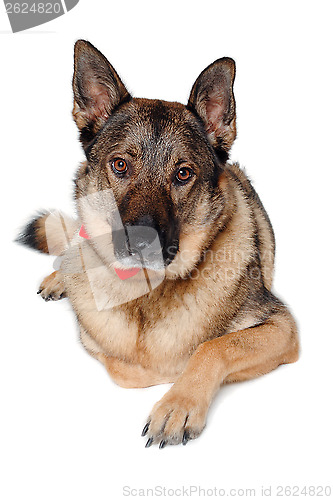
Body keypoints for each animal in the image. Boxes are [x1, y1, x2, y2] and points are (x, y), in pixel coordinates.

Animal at [18, 42, 298, 450]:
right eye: (120, 165)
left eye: (183, 173)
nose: (140, 242)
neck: (147, 293)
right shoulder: (100, 346)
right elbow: (129, 368)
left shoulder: (282, 328)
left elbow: (211, 347)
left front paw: (177, 403)